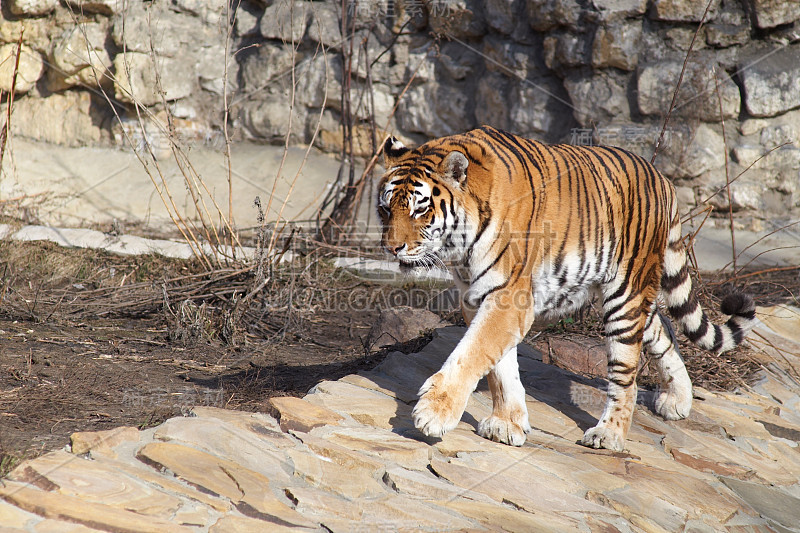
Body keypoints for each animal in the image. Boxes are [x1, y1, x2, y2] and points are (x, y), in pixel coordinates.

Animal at [378, 127, 760, 450]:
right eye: (385, 209)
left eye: (420, 210)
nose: (392, 248)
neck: (459, 247)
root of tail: (662, 177)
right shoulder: (477, 297)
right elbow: (500, 367)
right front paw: (508, 424)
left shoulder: (507, 297)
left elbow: (470, 354)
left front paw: (433, 414)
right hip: (629, 294)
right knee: (663, 326)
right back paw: (678, 399)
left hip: (625, 294)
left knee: (627, 374)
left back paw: (609, 435)